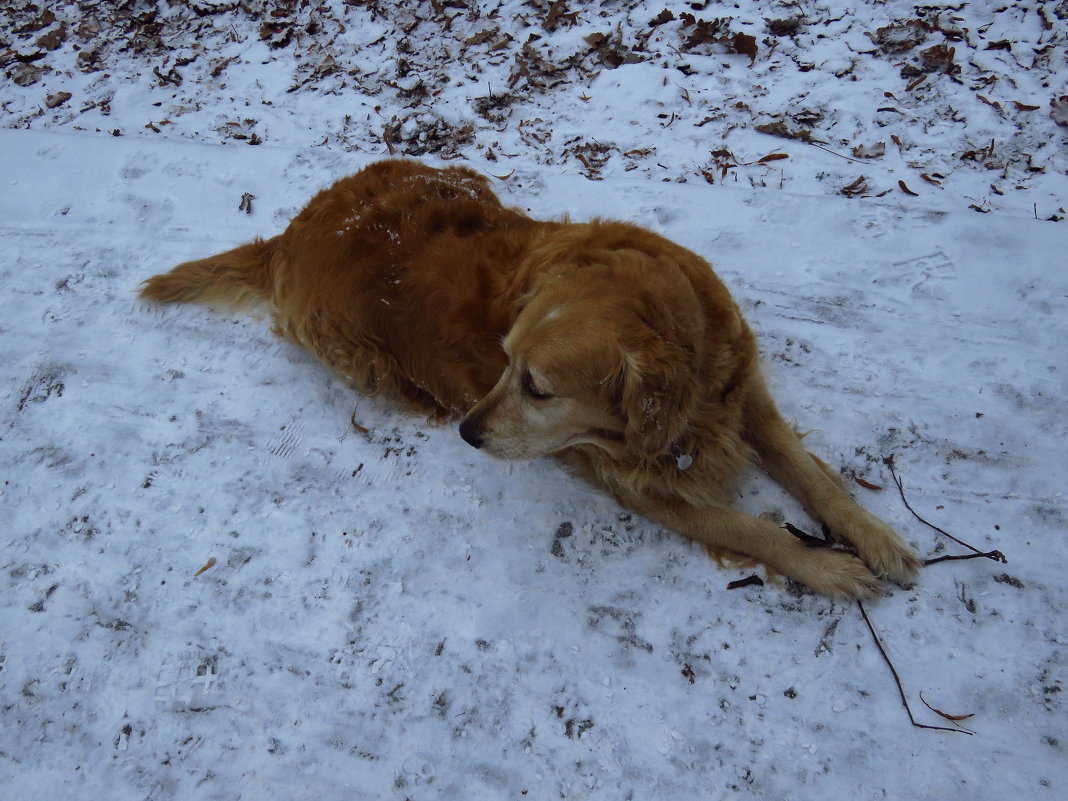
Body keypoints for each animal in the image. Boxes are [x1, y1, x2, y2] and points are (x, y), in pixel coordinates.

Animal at [139, 160, 918, 598]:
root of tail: (292, 230)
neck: (691, 398)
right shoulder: (638, 486)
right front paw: (829, 567)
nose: (468, 432)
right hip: (356, 350)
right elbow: (752, 528)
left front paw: (876, 539)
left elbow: (813, 475)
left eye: (537, 385)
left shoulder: (744, 393)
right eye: (503, 358)